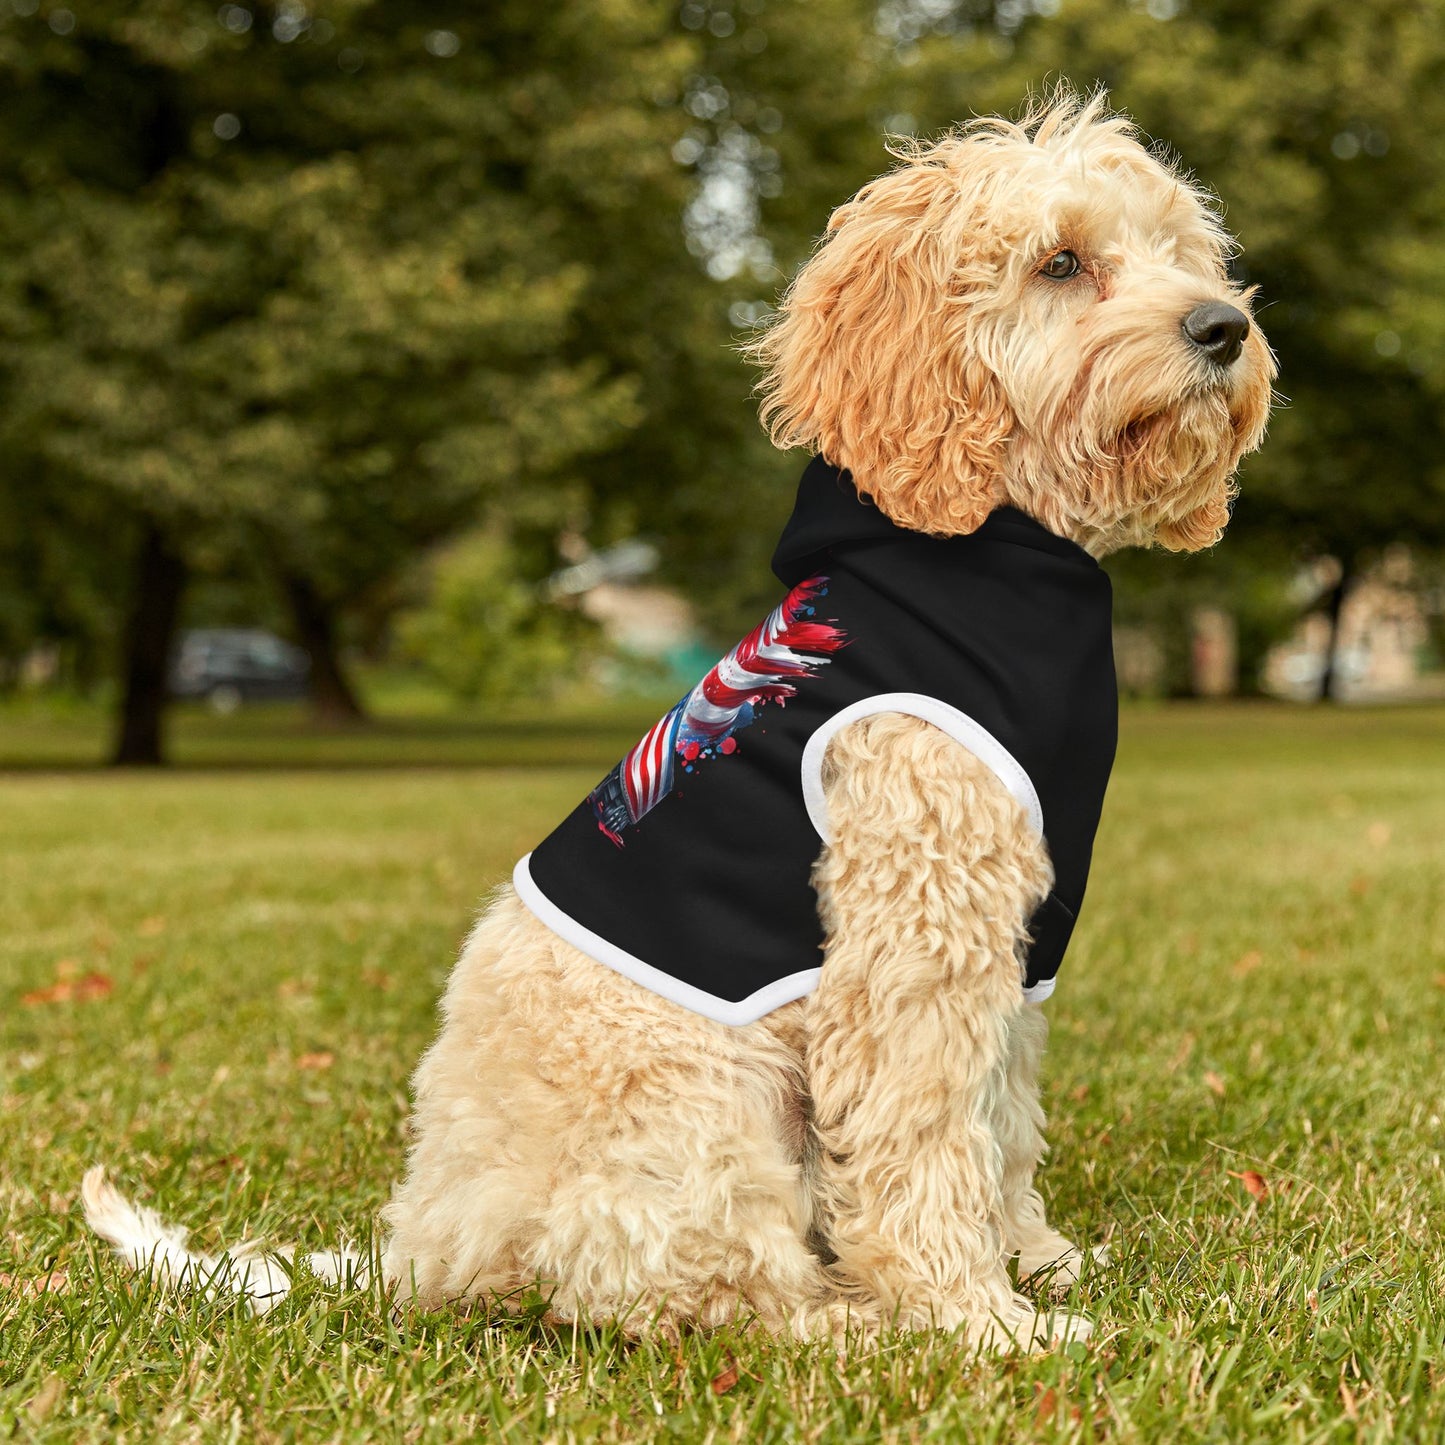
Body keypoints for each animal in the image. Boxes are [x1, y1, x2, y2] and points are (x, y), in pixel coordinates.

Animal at [84, 93, 1271, 1352]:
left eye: (1180, 252)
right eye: (1059, 262)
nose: (1222, 327)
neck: (986, 548)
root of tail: (424, 1247)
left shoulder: (1013, 940)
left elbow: (998, 1119)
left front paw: (1034, 1260)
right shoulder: (912, 933)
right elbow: (924, 1135)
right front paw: (975, 1318)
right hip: (704, 1103)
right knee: (700, 1291)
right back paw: (852, 1322)